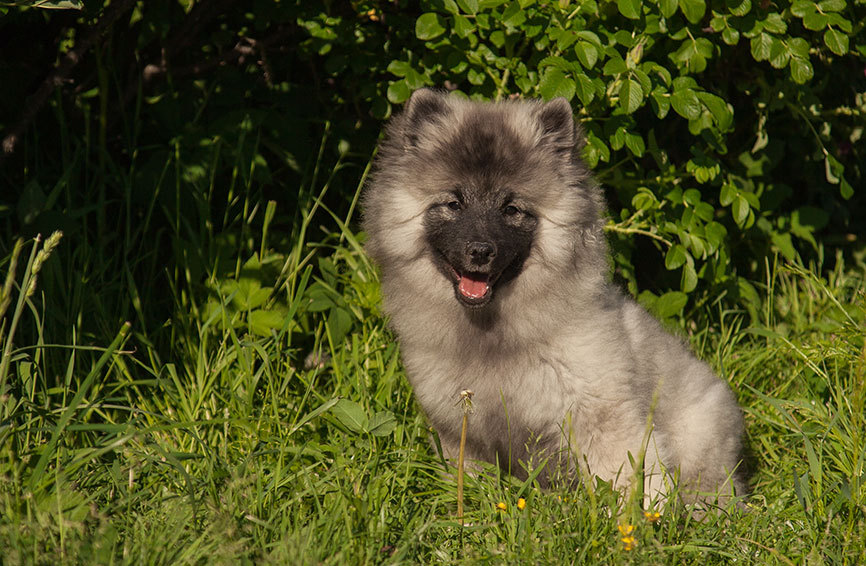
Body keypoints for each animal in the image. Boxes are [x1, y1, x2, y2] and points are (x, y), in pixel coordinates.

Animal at [358, 89, 744, 502]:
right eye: (454, 204)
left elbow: (628, 478)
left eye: (511, 209)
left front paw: (639, 516)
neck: (492, 337)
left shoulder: (600, 416)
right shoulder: (462, 434)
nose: (479, 251)